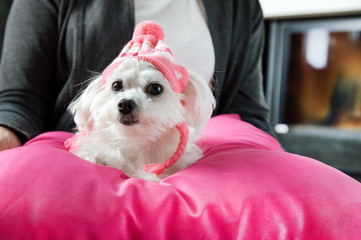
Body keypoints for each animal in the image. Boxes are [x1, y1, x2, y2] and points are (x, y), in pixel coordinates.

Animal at [65, 21, 214, 182]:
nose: (125, 104)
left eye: (155, 88)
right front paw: (99, 158)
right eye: (116, 85)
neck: (138, 144)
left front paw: (146, 175)